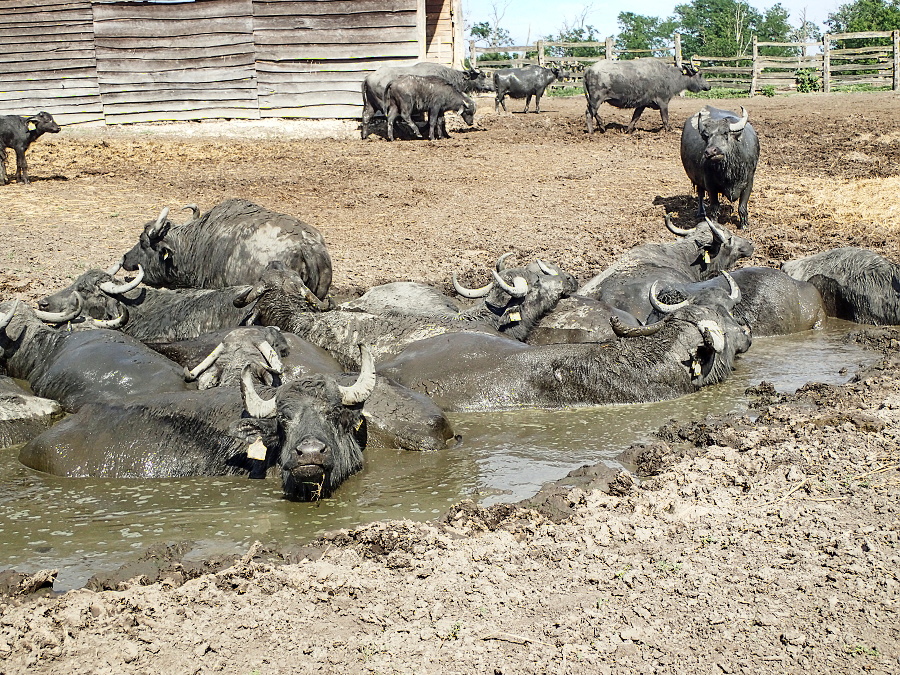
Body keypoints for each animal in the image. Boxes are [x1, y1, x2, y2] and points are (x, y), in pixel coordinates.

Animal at [358, 62, 492, 140]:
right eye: (482, 76)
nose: (492, 86)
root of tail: (367, 78)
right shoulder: (434, 106)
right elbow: (435, 121)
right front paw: (440, 134)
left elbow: (439, 120)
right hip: (387, 104)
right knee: (393, 118)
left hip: (371, 105)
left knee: (367, 117)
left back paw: (366, 136)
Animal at [584, 58, 712, 134]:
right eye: (700, 75)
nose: (708, 86)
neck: (669, 77)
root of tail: (588, 70)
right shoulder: (663, 102)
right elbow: (665, 118)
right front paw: (669, 130)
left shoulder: (642, 104)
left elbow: (635, 117)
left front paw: (628, 130)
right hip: (596, 99)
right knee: (589, 113)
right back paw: (591, 132)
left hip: (594, 100)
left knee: (593, 112)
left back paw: (602, 126)